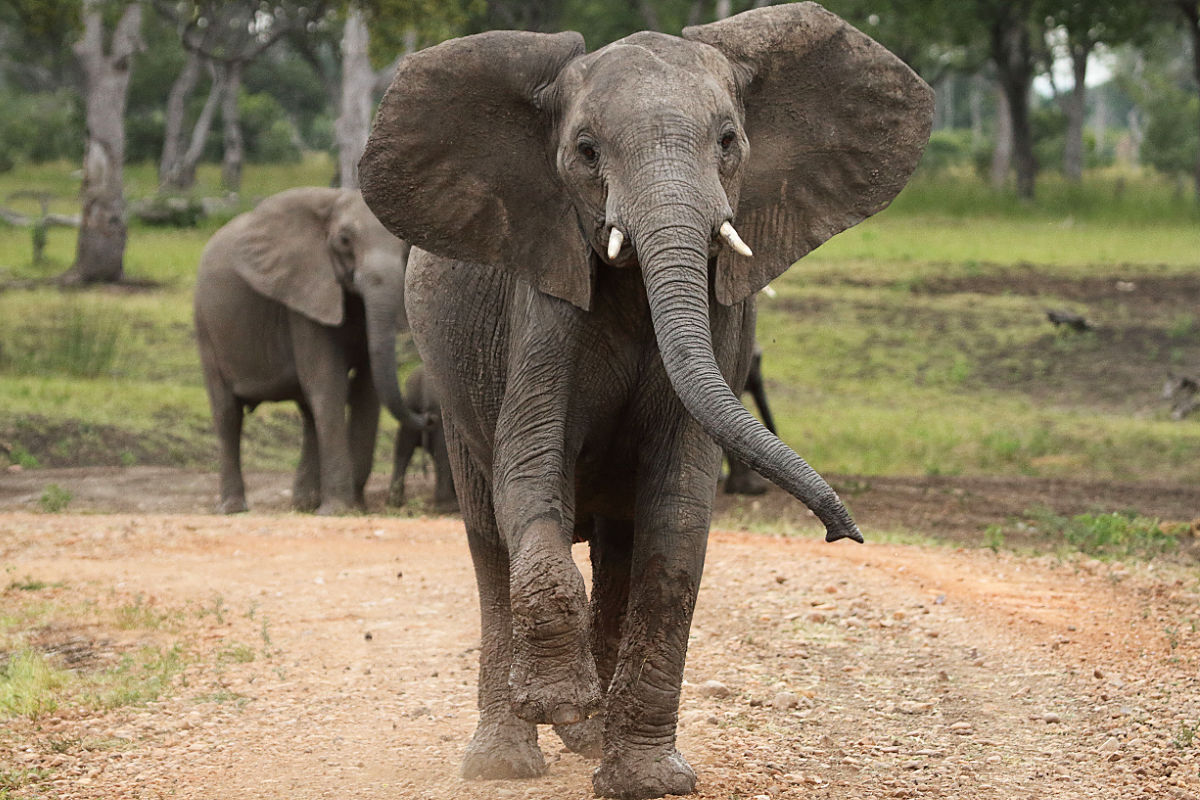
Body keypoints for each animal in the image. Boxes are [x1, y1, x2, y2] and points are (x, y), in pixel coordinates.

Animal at [193, 185, 422, 515]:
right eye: (344, 240)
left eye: (405, 246)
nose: (426, 419)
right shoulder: (302, 300)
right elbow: (330, 386)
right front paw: (338, 511)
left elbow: (366, 393)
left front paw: (357, 508)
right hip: (206, 325)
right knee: (227, 413)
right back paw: (233, 508)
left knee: (307, 410)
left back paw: (303, 504)